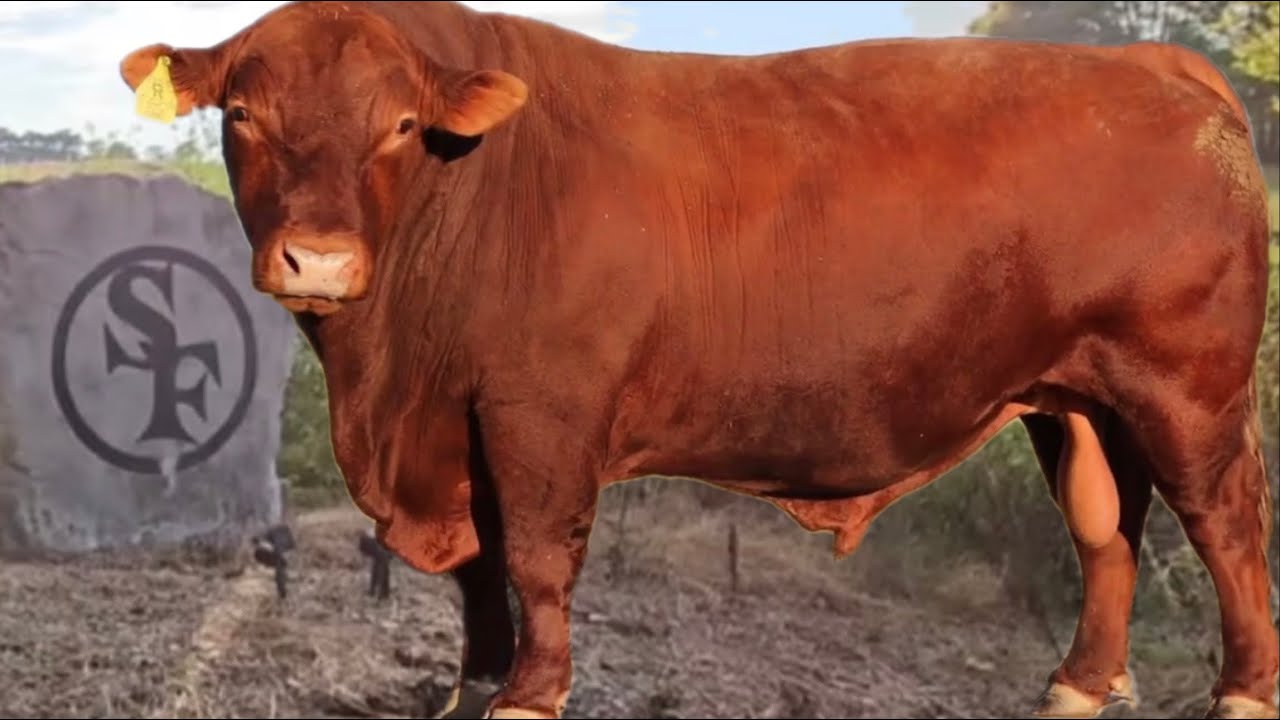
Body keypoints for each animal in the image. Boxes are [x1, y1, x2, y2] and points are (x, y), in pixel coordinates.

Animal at [118, 2, 1278, 718]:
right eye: (243, 114)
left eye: (401, 124)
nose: (316, 257)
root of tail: (1149, 67)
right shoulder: (458, 424)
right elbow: (481, 574)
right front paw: (473, 682)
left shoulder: (542, 412)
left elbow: (534, 558)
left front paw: (528, 692)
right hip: (1073, 396)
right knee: (1104, 527)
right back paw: (1076, 684)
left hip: (1187, 388)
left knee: (1225, 524)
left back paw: (1241, 690)